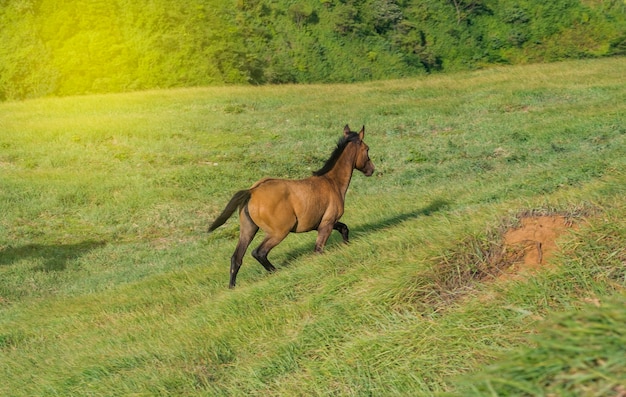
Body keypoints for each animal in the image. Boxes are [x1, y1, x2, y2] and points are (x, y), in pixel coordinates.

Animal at [210, 124, 372, 288]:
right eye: (367, 149)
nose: (371, 170)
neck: (332, 182)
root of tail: (252, 191)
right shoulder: (327, 223)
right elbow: (318, 249)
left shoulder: (323, 223)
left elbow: (344, 228)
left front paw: (346, 245)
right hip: (279, 232)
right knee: (258, 252)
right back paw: (276, 272)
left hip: (248, 230)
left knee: (236, 258)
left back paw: (232, 287)